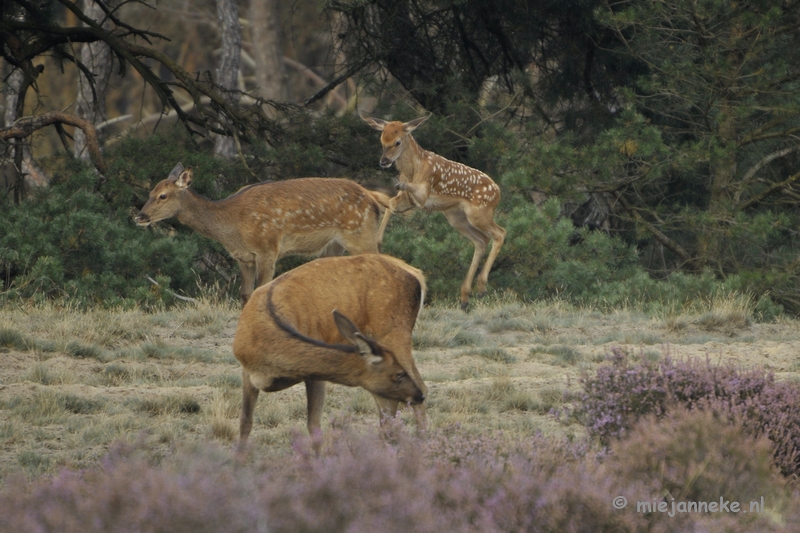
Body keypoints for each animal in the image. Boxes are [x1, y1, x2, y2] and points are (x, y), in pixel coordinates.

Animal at [134, 161, 390, 304]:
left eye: (163, 196)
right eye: (150, 192)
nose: (140, 216)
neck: (232, 225)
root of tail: (373, 197)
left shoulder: (268, 248)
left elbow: (262, 289)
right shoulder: (243, 257)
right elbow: (245, 293)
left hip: (360, 233)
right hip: (334, 245)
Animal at [233, 254, 428, 454]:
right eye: (398, 374)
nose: (416, 395)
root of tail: (417, 275)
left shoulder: (314, 373)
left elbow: (314, 426)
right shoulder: (246, 371)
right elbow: (245, 421)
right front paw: (240, 458)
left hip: (396, 332)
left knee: (420, 389)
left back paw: (422, 444)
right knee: (388, 403)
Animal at [362, 114, 506, 310]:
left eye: (398, 142)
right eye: (382, 139)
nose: (383, 161)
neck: (412, 169)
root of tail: (498, 192)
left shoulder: (422, 196)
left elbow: (400, 195)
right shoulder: (406, 200)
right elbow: (390, 203)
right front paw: (378, 242)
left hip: (479, 213)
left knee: (499, 233)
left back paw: (482, 287)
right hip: (456, 217)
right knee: (481, 240)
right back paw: (465, 297)